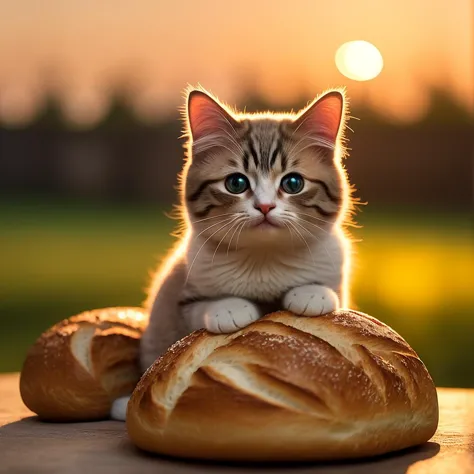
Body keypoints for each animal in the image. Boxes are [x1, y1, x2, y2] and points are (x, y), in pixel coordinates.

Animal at [111, 87, 354, 420]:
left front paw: (312, 293)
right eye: (236, 183)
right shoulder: (181, 291)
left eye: (293, 183)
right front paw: (229, 309)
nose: (265, 206)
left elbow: (330, 293)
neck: (263, 259)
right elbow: (199, 306)